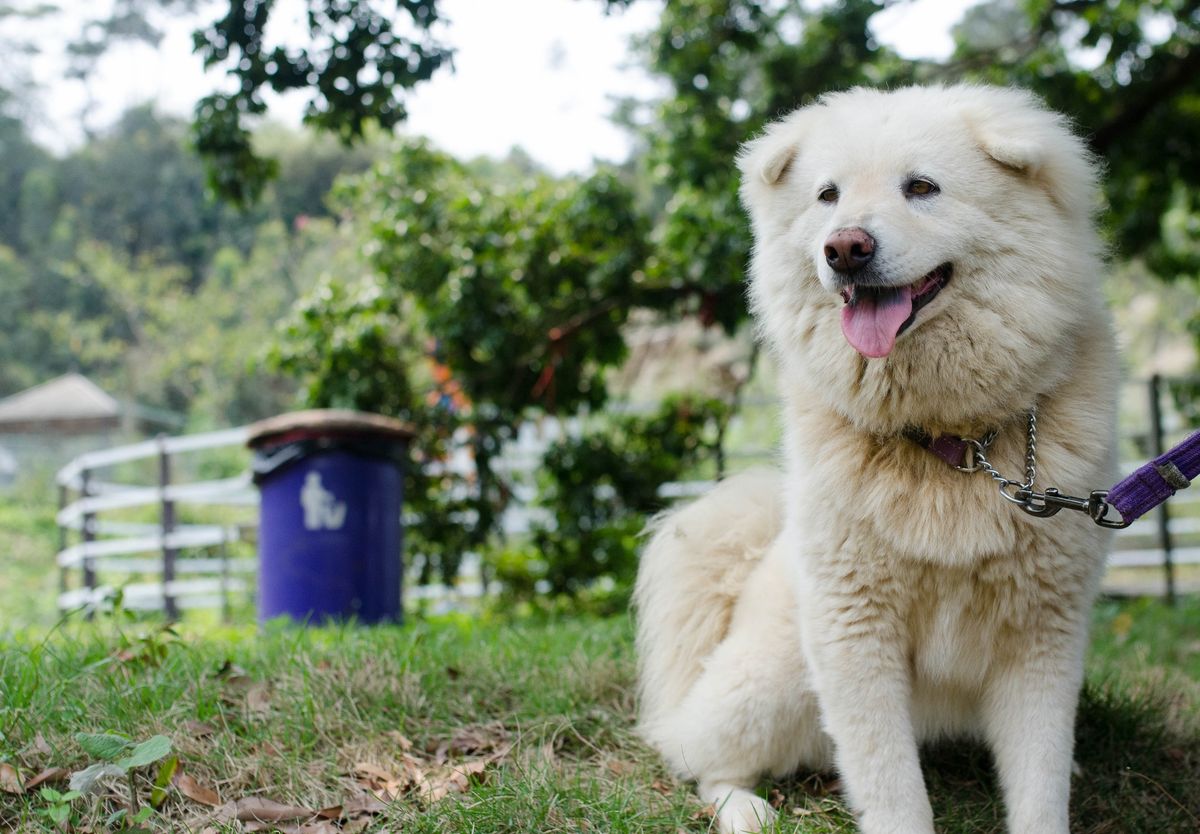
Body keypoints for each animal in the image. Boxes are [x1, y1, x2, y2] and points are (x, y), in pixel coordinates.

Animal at [638, 86, 1113, 834]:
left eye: (921, 187)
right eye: (828, 195)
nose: (845, 248)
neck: (953, 443)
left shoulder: (1043, 636)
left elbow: (1038, 783)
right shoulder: (854, 628)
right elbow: (890, 784)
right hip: (775, 676)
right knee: (694, 751)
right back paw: (744, 807)